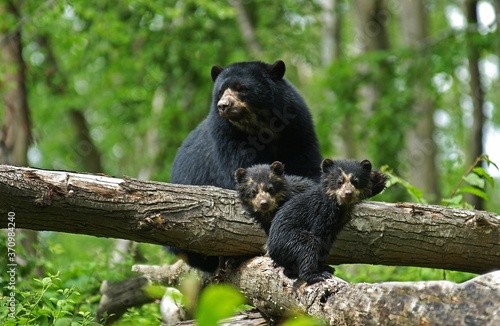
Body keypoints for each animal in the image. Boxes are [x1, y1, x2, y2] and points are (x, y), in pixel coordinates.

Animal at [170, 59, 322, 272]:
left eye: (241, 88)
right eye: (220, 91)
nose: (223, 105)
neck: (261, 126)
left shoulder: (297, 128)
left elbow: (306, 165)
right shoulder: (228, 139)